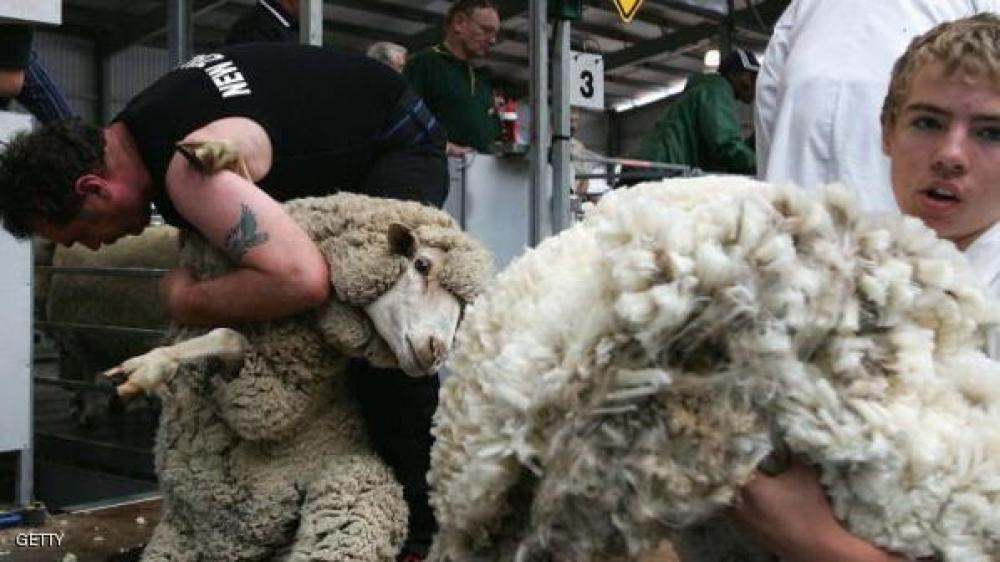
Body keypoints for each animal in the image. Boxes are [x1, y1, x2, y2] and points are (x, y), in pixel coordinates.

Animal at [108, 192, 494, 561]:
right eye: (422, 264)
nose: (436, 350)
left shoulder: (271, 402)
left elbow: (231, 342)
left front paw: (148, 367)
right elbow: (222, 336)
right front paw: (151, 364)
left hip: (350, 492)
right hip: (175, 540)